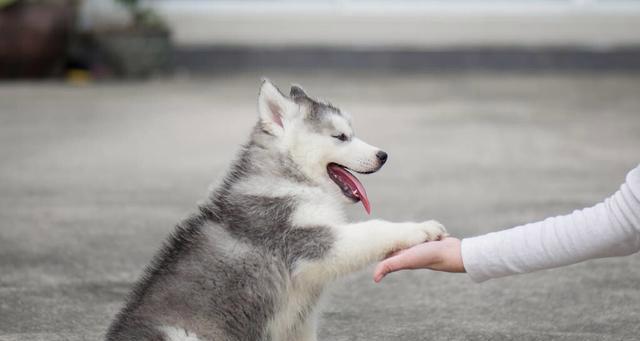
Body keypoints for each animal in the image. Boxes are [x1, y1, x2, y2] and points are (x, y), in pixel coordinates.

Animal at [106, 79, 444, 340]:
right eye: (340, 136)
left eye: (351, 132)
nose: (383, 155)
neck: (290, 177)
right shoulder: (308, 241)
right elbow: (374, 229)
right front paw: (420, 228)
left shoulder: (300, 321)